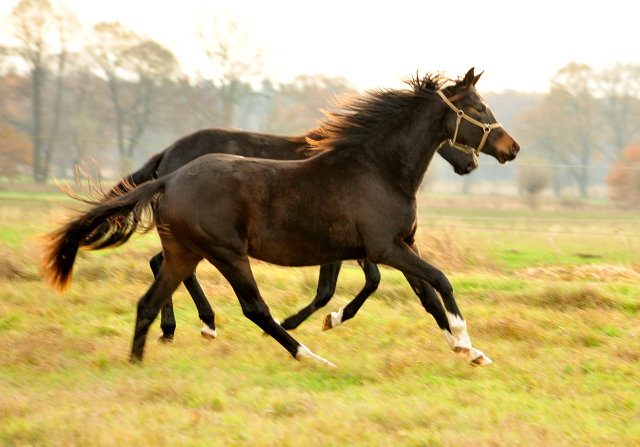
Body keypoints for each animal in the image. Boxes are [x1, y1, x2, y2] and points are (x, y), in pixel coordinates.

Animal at [43, 69, 520, 368]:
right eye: (478, 108)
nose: (511, 148)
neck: (378, 169)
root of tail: (171, 174)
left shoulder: (399, 246)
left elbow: (425, 296)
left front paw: (469, 352)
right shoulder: (384, 248)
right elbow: (438, 282)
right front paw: (465, 341)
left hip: (186, 251)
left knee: (150, 299)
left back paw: (143, 357)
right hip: (226, 253)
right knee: (254, 308)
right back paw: (308, 356)